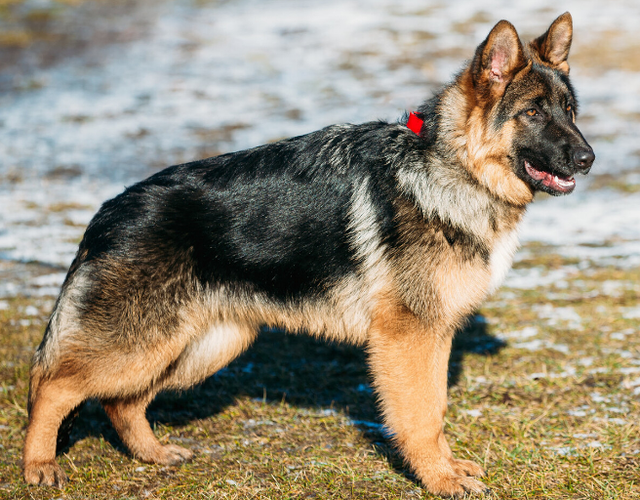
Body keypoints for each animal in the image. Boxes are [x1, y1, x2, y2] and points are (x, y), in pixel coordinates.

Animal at [25, 11, 596, 496]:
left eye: (569, 111)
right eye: (531, 113)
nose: (589, 158)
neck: (451, 167)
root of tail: (111, 210)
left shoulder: (433, 334)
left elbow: (434, 408)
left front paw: (446, 469)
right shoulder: (409, 337)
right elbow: (422, 416)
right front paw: (439, 479)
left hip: (199, 344)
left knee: (121, 401)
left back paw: (153, 453)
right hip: (142, 341)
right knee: (53, 385)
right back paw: (38, 465)